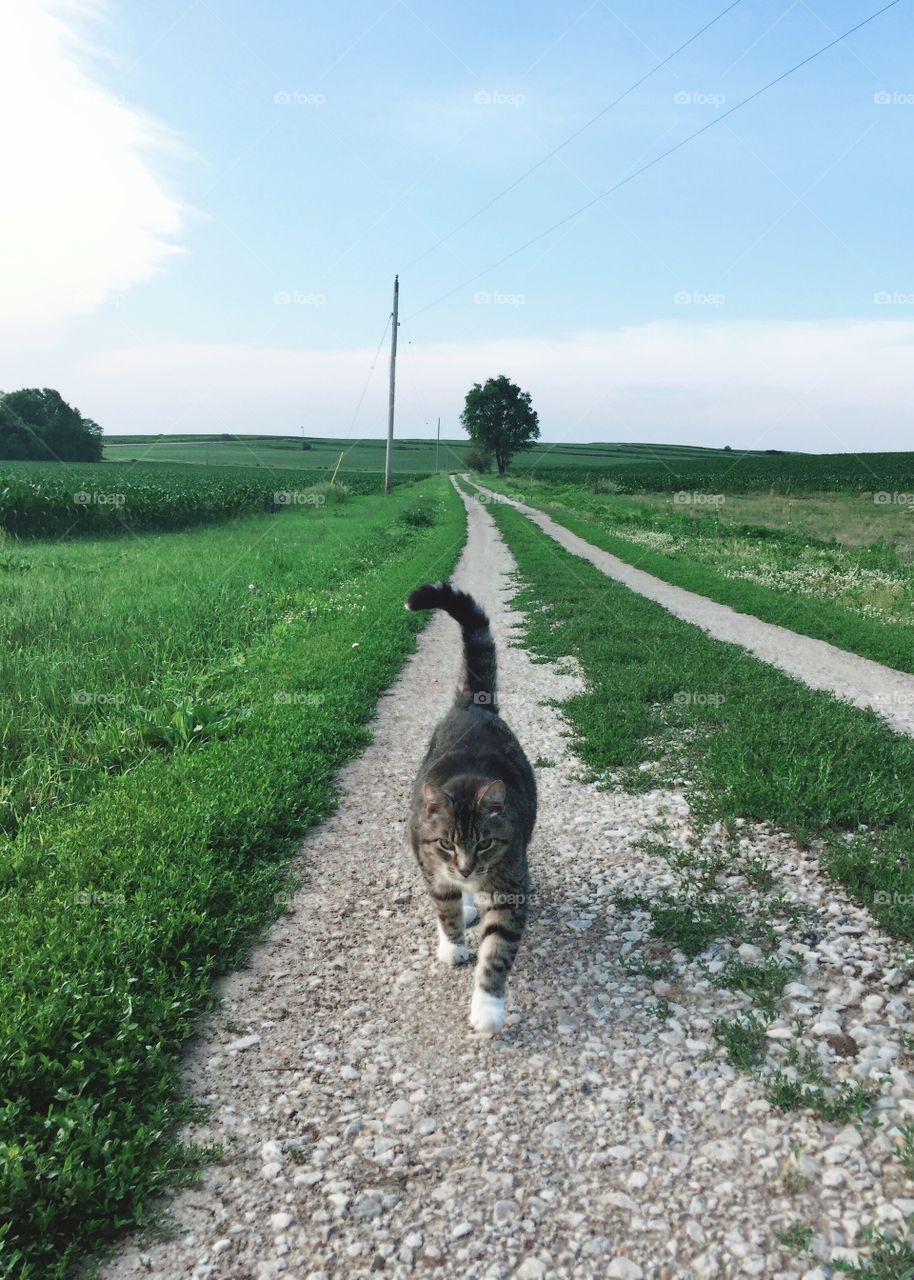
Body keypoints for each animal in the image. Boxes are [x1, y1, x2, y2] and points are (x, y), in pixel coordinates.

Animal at [404, 578, 535, 1029]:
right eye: (447, 843)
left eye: (484, 843)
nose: (465, 868)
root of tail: (472, 705)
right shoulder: (432, 865)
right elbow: (444, 910)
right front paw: (453, 945)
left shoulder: (511, 886)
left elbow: (497, 952)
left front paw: (488, 1007)